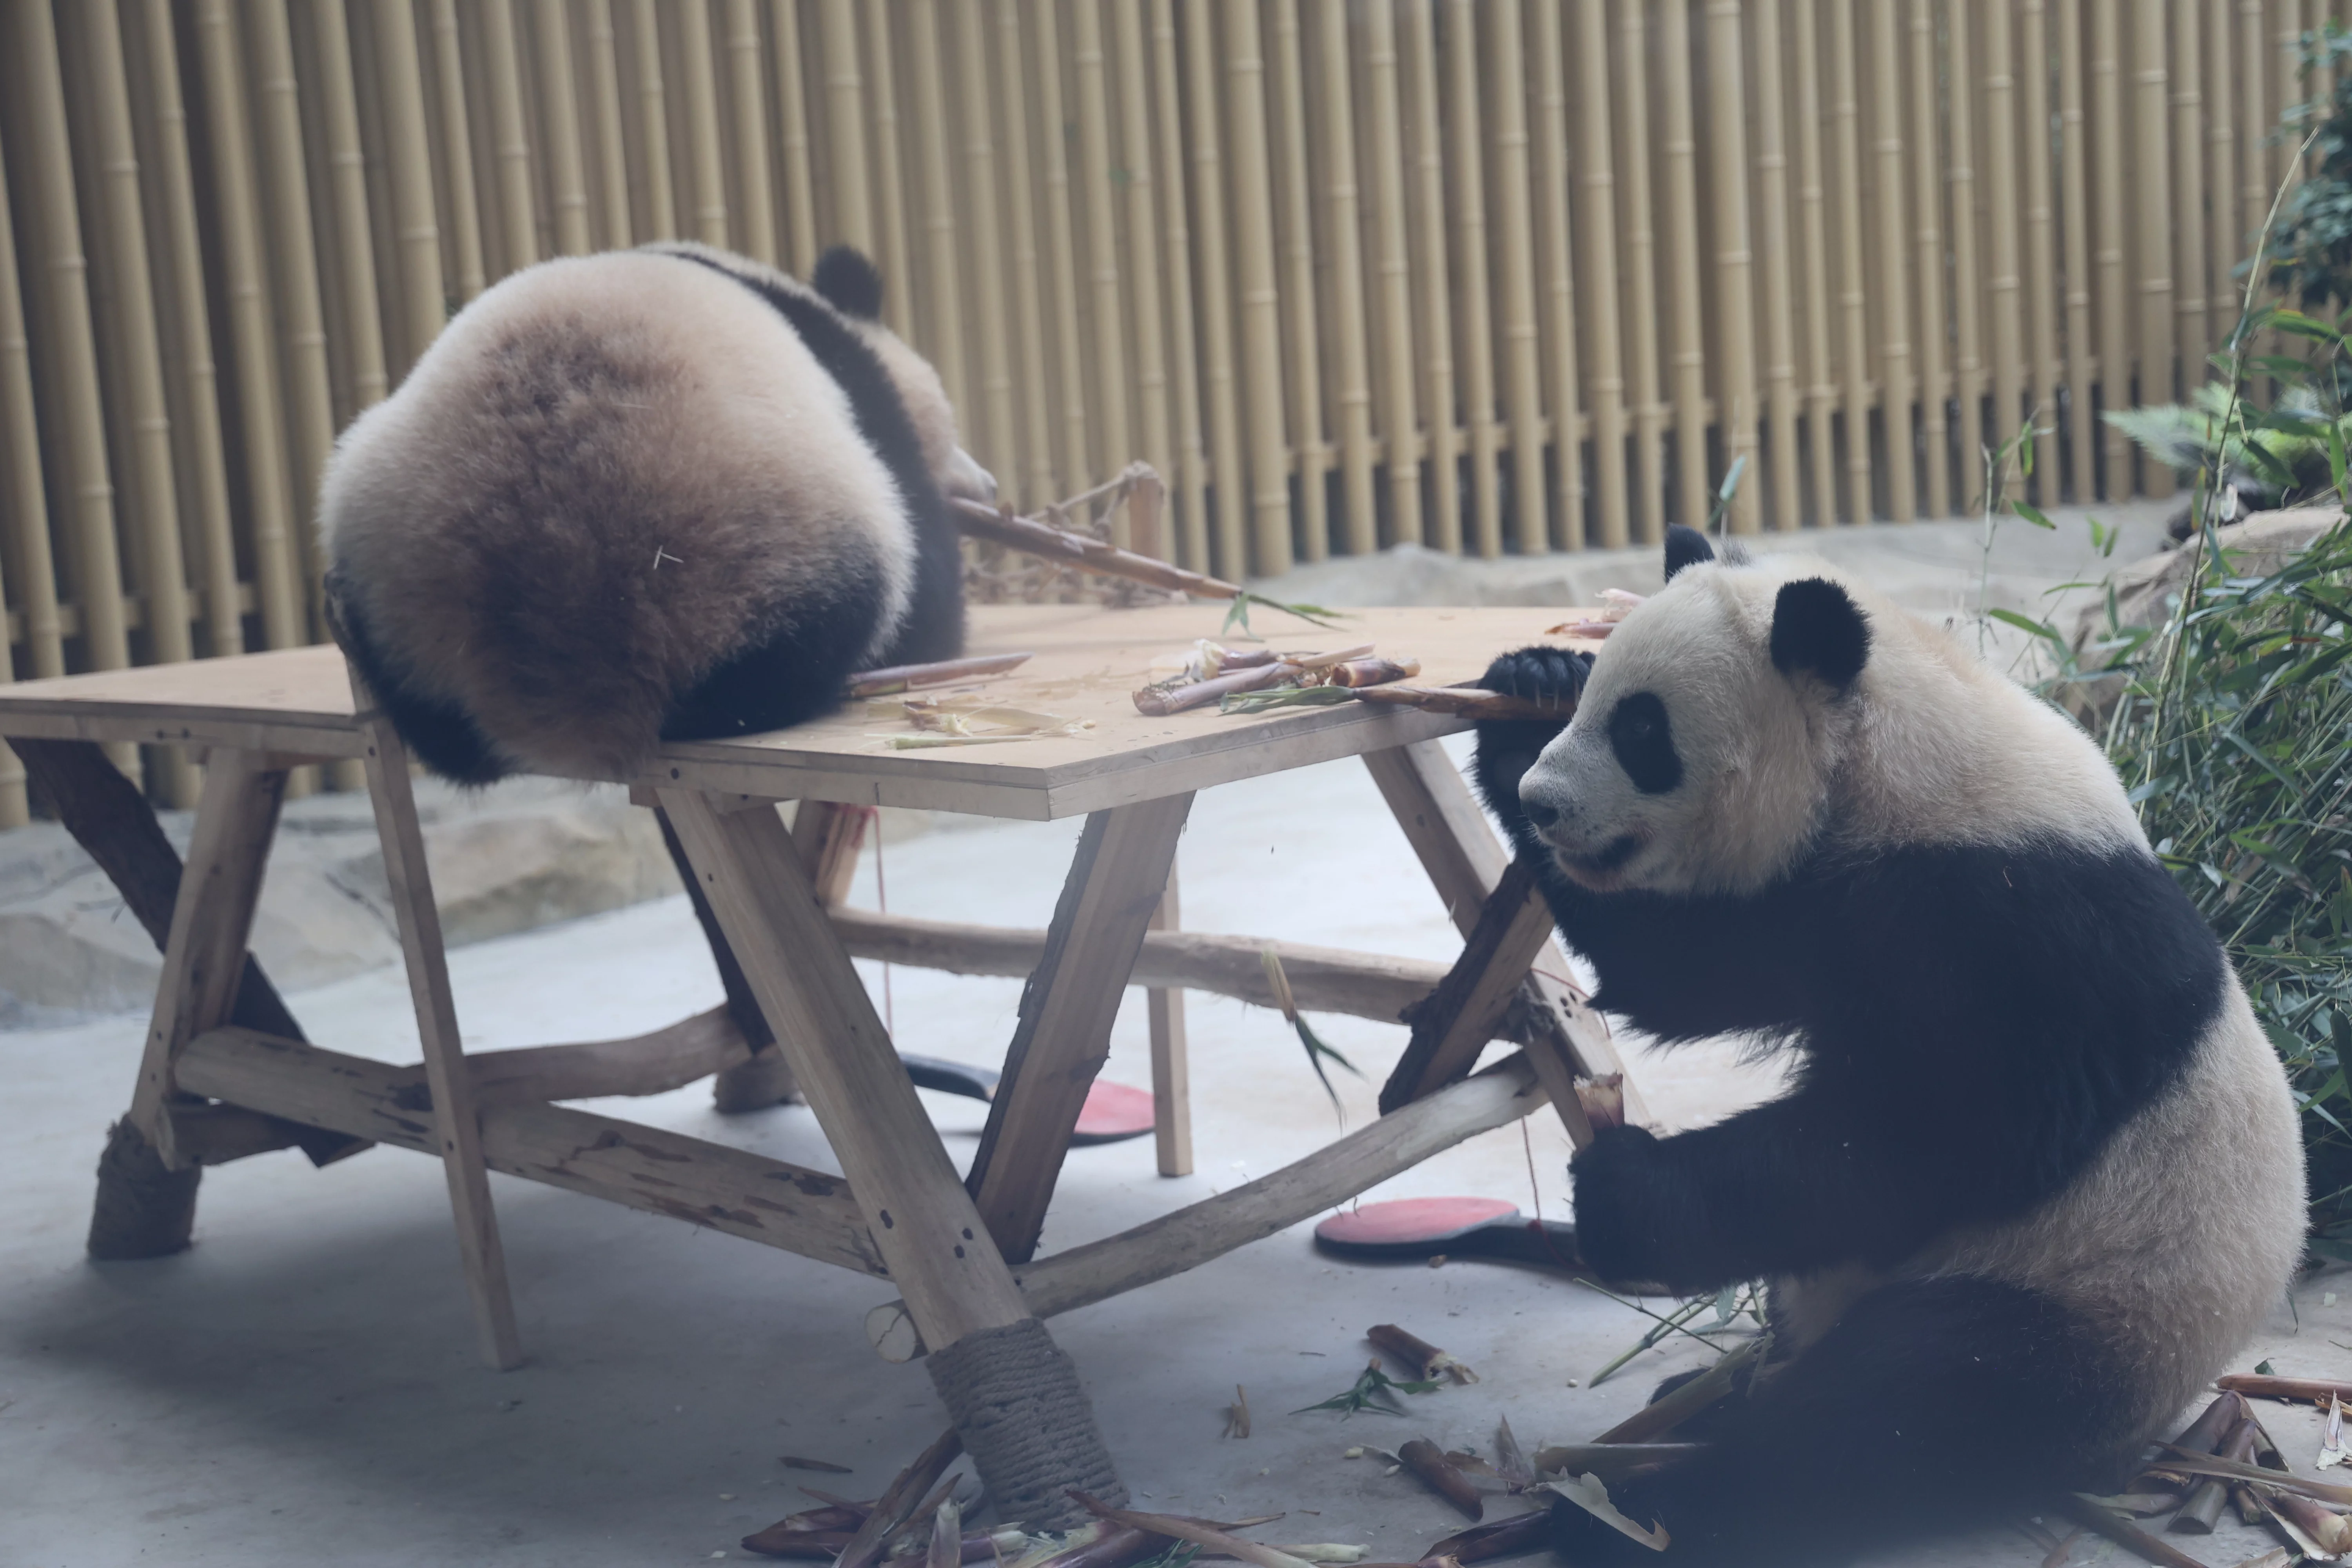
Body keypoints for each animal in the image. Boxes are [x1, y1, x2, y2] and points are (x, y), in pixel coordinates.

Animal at [318, 242, 991, 785]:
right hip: (764, 530)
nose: (987, 484)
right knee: (815, 637)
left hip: (386, 553)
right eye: (953, 426)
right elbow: (930, 587)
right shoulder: (864, 404)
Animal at [1471, 526, 2306, 1565]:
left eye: (1643, 732)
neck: (1900, 756)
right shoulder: (1821, 902)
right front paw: (1527, 684)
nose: (1546, 802)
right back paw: (1696, 1414)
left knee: (1908, 1407)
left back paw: (1650, 1511)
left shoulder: (2016, 924)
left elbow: (1936, 1134)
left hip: (2098, 1293)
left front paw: (1623, 1190)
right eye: (1599, 705)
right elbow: (1683, 970)